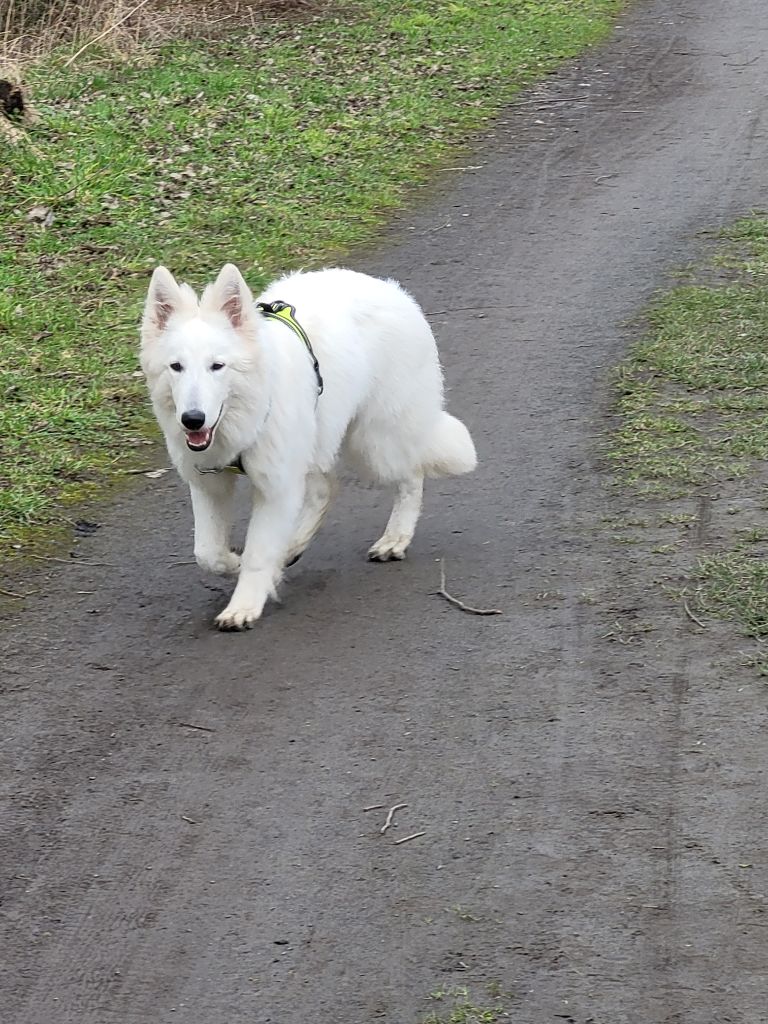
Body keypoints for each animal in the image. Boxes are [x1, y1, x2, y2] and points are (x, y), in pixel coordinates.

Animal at [138, 264, 475, 626]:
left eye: (217, 366)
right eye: (176, 367)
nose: (193, 419)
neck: (249, 409)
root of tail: (394, 291)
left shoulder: (275, 487)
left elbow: (258, 552)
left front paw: (244, 606)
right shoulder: (210, 484)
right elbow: (207, 552)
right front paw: (234, 564)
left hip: (374, 443)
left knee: (411, 476)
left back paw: (395, 539)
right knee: (325, 488)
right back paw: (293, 546)